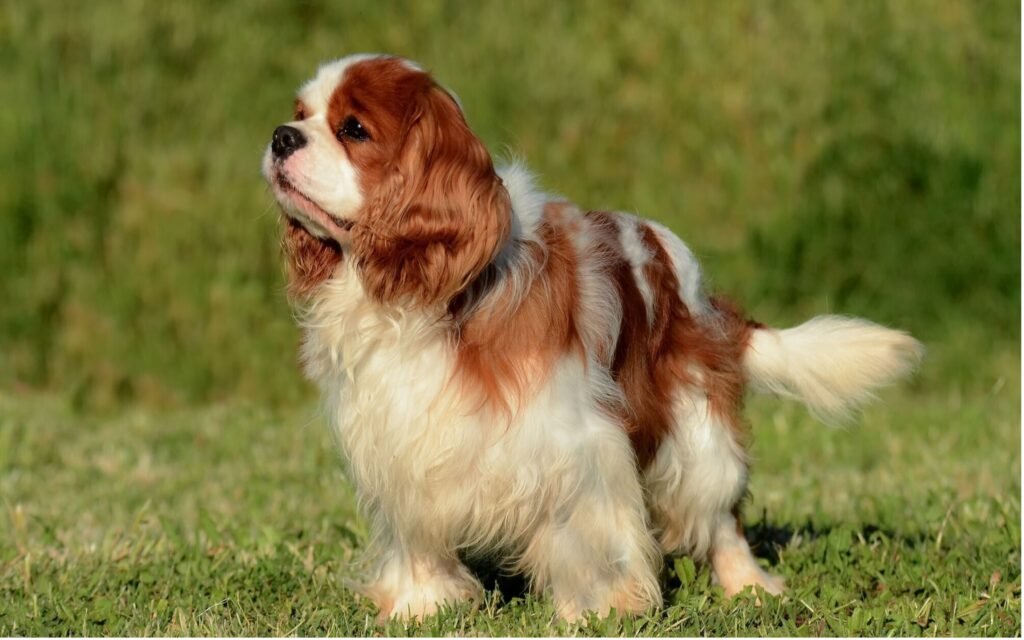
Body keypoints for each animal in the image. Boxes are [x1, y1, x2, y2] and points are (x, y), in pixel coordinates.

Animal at [262, 53, 921, 618]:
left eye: (353, 129)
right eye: (300, 113)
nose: (281, 136)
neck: (430, 298)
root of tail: (703, 294)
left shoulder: (576, 440)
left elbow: (589, 529)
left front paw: (602, 608)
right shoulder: (401, 440)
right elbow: (417, 531)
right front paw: (420, 604)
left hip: (692, 430)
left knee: (721, 516)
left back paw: (748, 587)